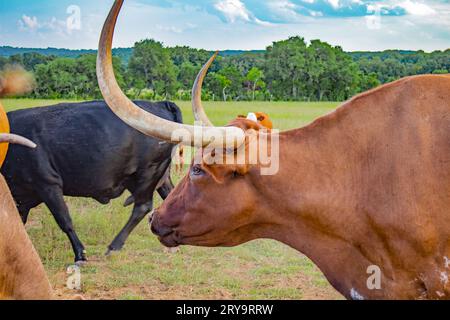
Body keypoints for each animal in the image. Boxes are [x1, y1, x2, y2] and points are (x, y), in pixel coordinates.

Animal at [2, 100, 181, 262]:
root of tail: (160, 104)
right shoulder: (21, 197)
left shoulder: (48, 184)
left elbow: (64, 220)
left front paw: (80, 254)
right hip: (159, 177)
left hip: (147, 173)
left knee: (142, 207)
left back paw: (114, 247)